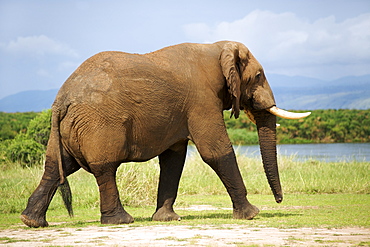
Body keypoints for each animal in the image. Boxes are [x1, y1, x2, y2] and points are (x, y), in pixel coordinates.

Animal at [20, 41, 310, 228]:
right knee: (104, 168)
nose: (279, 201)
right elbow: (215, 151)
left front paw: (167, 219)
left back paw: (31, 221)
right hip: (98, 123)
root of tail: (62, 100)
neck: (216, 48)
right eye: (259, 75)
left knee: (56, 166)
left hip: (69, 127)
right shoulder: (202, 99)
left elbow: (173, 159)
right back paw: (120, 221)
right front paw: (251, 215)